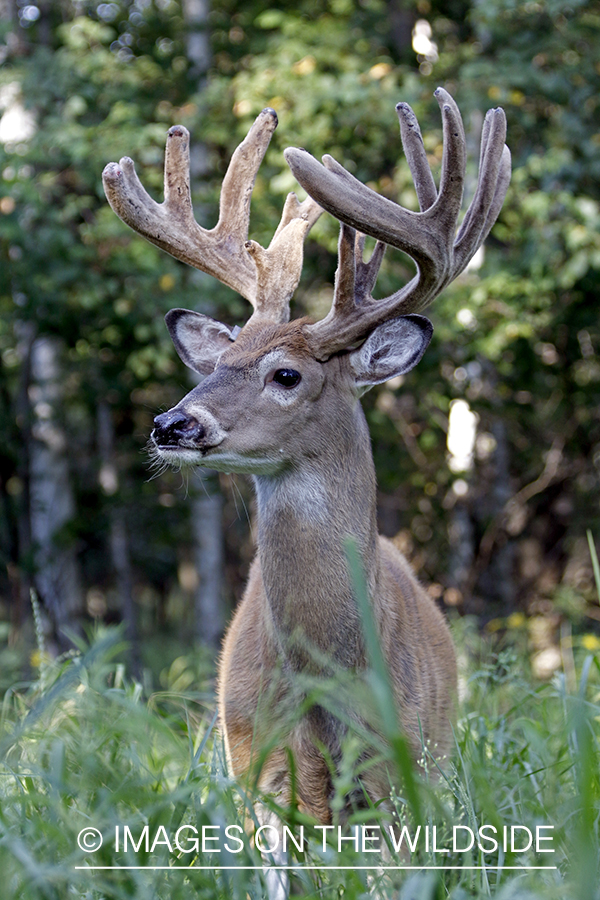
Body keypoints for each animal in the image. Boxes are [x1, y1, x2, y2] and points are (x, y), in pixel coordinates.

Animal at [103, 89, 510, 880]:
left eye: (286, 375)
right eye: (216, 365)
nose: (171, 424)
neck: (332, 690)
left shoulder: (401, 782)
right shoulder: (257, 780)